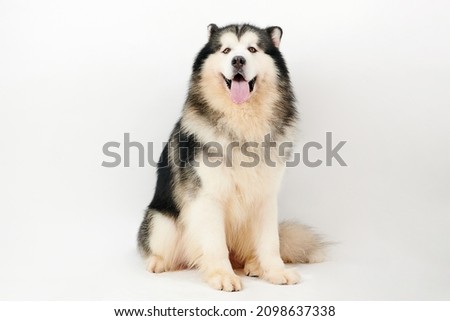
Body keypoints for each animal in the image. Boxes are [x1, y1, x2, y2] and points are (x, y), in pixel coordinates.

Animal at [137, 23, 324, 292]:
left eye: (252, 49)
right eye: (225, 50)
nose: (238, 60)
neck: (241, 121)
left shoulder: (266, 197)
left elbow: (270, 243)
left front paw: (275, 271)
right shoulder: (208, 198)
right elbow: (215, 246)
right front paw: (222, 274)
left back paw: (253, 265)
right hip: (161, 221)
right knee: (169, 248)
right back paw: (159, 262)